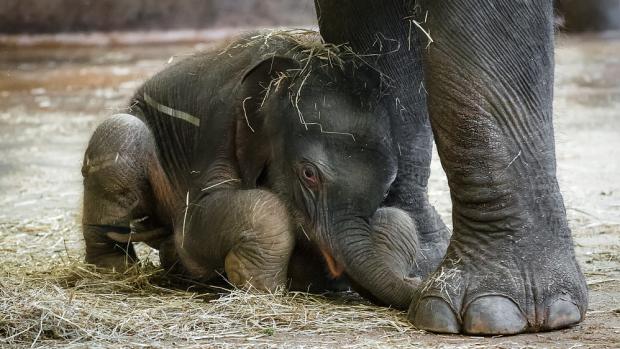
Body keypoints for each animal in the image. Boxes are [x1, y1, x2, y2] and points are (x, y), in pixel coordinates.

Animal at [80, 30, 422, 308]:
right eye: (309, 175)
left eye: (388, 184)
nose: (418, 281)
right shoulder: (221, 128)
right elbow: (200, 225)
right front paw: (260, 287)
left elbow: (398, 220)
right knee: (122, 133)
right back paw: (117, 268)